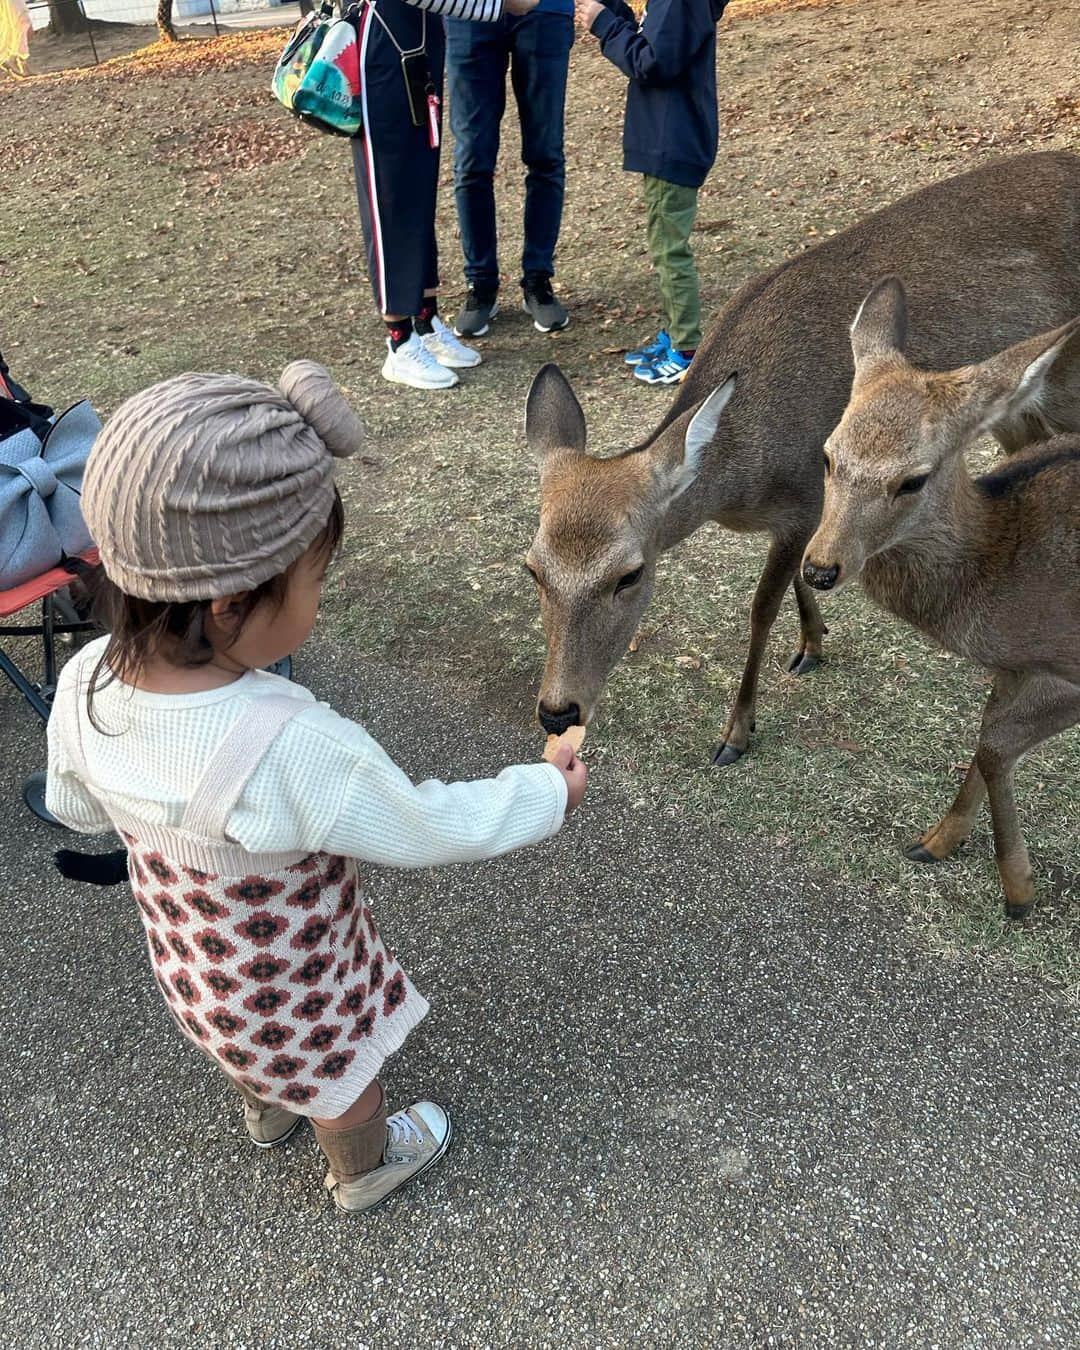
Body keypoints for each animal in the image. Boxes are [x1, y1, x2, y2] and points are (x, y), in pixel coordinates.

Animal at [526, 153, 1080, 766]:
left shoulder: (804, 503)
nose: (558, 712)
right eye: (533, 568)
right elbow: (799, 579)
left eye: (630, 575)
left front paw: (736, 733)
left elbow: (762, 606)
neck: (741, 486)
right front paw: (813, 643)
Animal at [799, 279, 1080, 923]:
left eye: (913, 480)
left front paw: (1019, 892)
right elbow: (988, 738)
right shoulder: (1017, 665)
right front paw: (936, 842)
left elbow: (997, 744)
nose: (820, 567)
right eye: (827, 455)